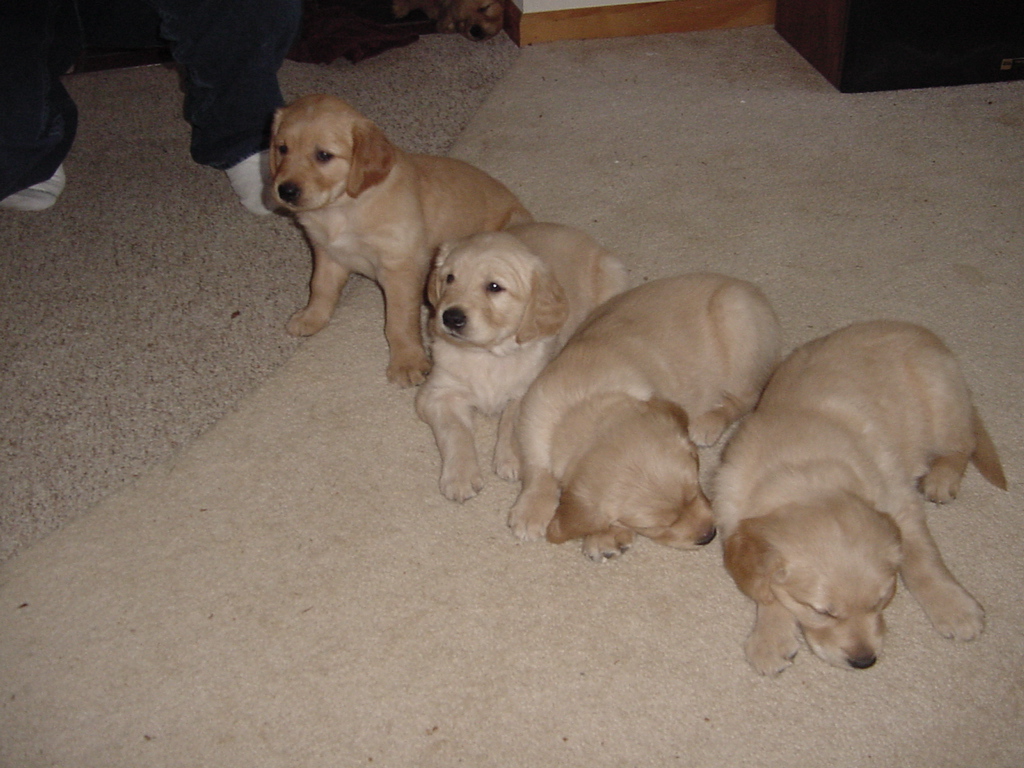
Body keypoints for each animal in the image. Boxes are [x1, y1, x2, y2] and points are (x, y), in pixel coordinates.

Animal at [268, 93, 532, 387]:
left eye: (323, 155)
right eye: (282, 149)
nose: (285, 190)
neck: (343, 207)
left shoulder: (400, 268)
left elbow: (398, 321)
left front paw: (407, 361)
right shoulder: (327, 253)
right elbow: (320, 288)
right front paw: (311, 317)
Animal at [413, 221, 622, 505]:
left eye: (494, 287)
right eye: (449, 278)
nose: (451, 317)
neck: (487, 355)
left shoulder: (530, 387)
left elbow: (511, 421)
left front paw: (510, 459)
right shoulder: (438, 393)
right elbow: (455, 431)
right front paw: (460, 476)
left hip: (612, 276)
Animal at [507, 274, 778, 561]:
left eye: (697, 490)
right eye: (656, 525)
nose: (709, 535)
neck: (583, 400)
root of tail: (744, 286)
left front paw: (605, 536)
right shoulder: (533, 416)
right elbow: (537, 468)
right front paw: (532, 510)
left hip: (740, 330)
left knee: (746, 398)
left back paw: (709, 422)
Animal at [716, 321, 1011, 675]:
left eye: (880, 601)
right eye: (823, 611)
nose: (864, 661)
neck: (807, 472)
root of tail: (923, 334)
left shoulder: (899, 500)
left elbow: (922, 559)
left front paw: (954, 607)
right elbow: (767, 590)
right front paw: (770, 637)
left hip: (941, 401)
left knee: (963, 444)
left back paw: (942, 478)